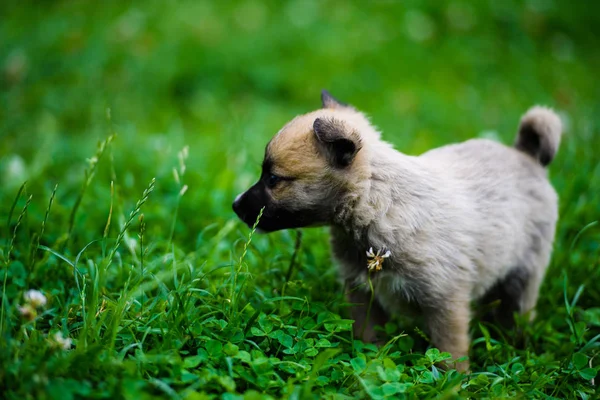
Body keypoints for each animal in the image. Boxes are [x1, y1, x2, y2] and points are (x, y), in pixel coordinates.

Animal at [232, 91, 560, 372]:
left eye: (273, 179)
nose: (235, 206)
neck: (378, 203)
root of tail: (525, 155)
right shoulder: (362, 293)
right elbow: (368, 336)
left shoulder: (446, 302)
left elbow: (450, 353)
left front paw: (454, 383)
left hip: (525, 275)